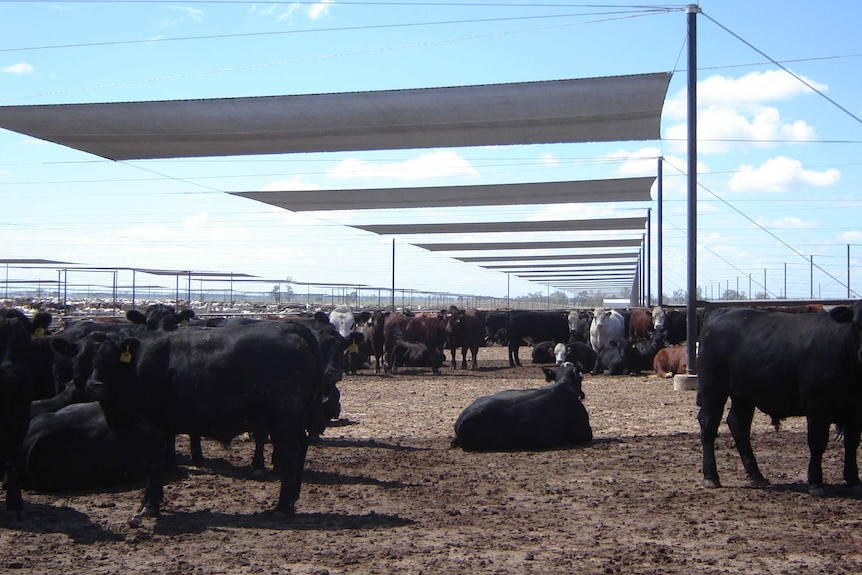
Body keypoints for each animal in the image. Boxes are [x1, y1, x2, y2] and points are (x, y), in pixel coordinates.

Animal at [52, 322, 328, 524]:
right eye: (81, 357)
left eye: (109, 359)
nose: (96, 386)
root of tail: (290, 327)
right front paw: (145, 502)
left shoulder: (149, 429)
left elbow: (153, 465)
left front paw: (150, 506)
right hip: (294, 420)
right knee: (302, 447)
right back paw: (292, 500)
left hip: (282, 420)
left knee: (291, 455)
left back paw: (281, 507)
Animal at [700, 304, 862, 498]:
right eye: (856, 325)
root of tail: (720, 311)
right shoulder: (817, 406)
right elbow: (817, 443)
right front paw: (816, 483)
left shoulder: (855, 411)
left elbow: (852, 444)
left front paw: (854, 481)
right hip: (713, 388)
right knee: (709, 425)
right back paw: (711, 477)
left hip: (743, 395)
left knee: (738, 425)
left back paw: (756, 475)